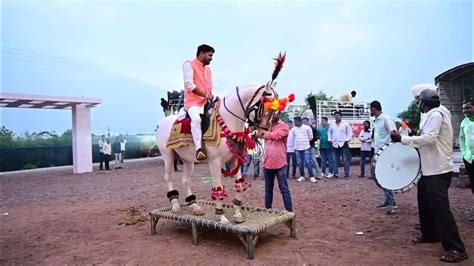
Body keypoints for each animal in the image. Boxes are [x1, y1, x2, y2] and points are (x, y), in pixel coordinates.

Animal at [156, 53, 284, 223]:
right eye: (265, 106)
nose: (262, 134)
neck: (228, 122)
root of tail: (163, 122)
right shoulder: (215, 162)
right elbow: (218, 188)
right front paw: (222, 217)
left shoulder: (235, 160)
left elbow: (239, 184)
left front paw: (237, 214)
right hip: (168, 156)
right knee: (168, 177)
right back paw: (175, 205)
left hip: (188, 160)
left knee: (186, 180)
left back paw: (194, 206)